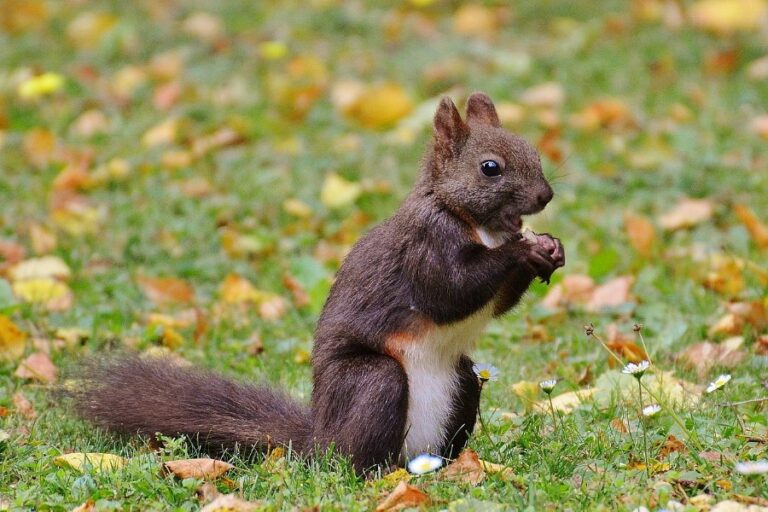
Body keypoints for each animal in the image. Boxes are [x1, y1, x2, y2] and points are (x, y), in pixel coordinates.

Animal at [73, 91, 564, 472]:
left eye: (533, 151)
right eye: (490, 168)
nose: (546, 196)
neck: (475, 223)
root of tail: (320, 441)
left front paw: (550, 249)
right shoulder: (425, 246)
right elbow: (451, 293)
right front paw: (523, 251)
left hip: (462, 380)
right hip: (372, 383)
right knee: (357, 456)